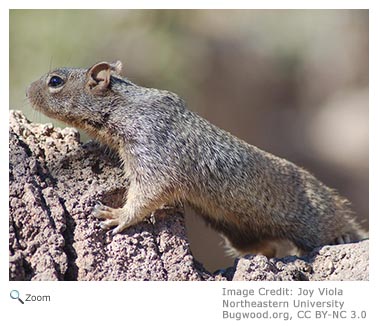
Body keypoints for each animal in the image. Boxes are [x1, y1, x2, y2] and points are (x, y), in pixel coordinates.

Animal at [25, 60, 366, 258]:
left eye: (55, 81)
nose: (27, 91)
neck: (126, 106)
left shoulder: (153, 146)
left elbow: (151, 190)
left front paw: (117, 214)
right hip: (238, 232)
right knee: (265, 247)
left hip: (317, 220)